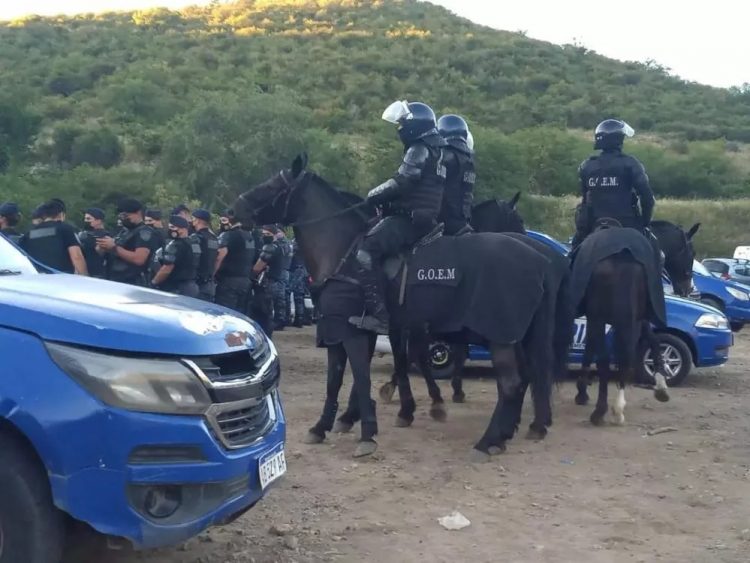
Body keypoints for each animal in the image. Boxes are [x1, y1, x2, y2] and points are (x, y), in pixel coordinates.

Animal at [235, 155, 560, 462]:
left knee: (512, 383)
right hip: (516, 337)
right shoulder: (363, 330)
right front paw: (331, 424)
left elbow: (362, 376)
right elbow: (342, 378)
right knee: (524, 379)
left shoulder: (351, 331)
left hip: (500, 337)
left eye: (271, 186)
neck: (344, 252)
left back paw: (488, 441)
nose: (234, 210)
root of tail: (538, 260)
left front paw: (368, 430)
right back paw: (509, 433)